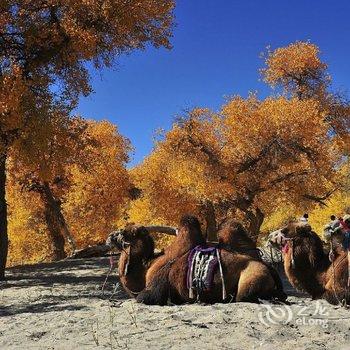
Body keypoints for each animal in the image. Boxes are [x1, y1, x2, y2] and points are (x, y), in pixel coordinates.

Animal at [107, 213, 288, 304]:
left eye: (126, 232)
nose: (110, 236)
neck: (146, 268)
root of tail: (269, 268)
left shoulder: (155, 289)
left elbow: (143, 298)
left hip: (250, 281)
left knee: (246, 296)